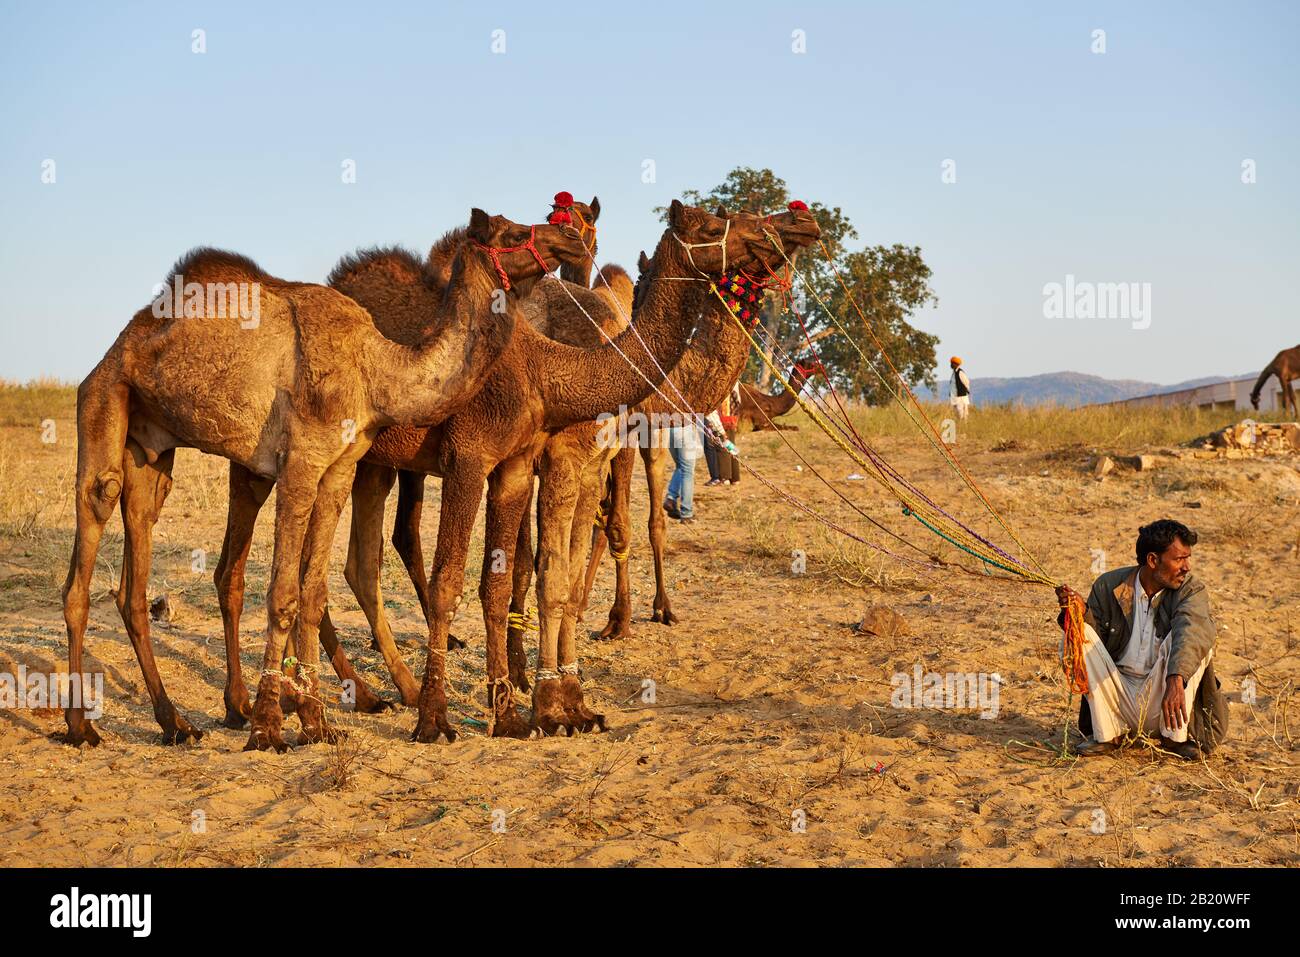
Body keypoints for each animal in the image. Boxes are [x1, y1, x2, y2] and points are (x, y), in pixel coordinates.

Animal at [62, 210, 586, 750]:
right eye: (516, 233)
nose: (569, 238)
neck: (375, 369)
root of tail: (119, 345)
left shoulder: (339, 469)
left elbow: (311, 596)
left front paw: (316, 723)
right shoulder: (301, 464)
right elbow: (282, 595)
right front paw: (269, 726)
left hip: (152, 448)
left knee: (135, 571)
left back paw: (177, 722)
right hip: (104, 400)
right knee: (89, 537)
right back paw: (82, 726)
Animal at [579, 204, 822, 641]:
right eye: (716, 227)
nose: (801, 218)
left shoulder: (651, 432)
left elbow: (653, 521)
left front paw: (662, 608)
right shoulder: (620, 433)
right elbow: (617, 523)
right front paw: (618, 620)